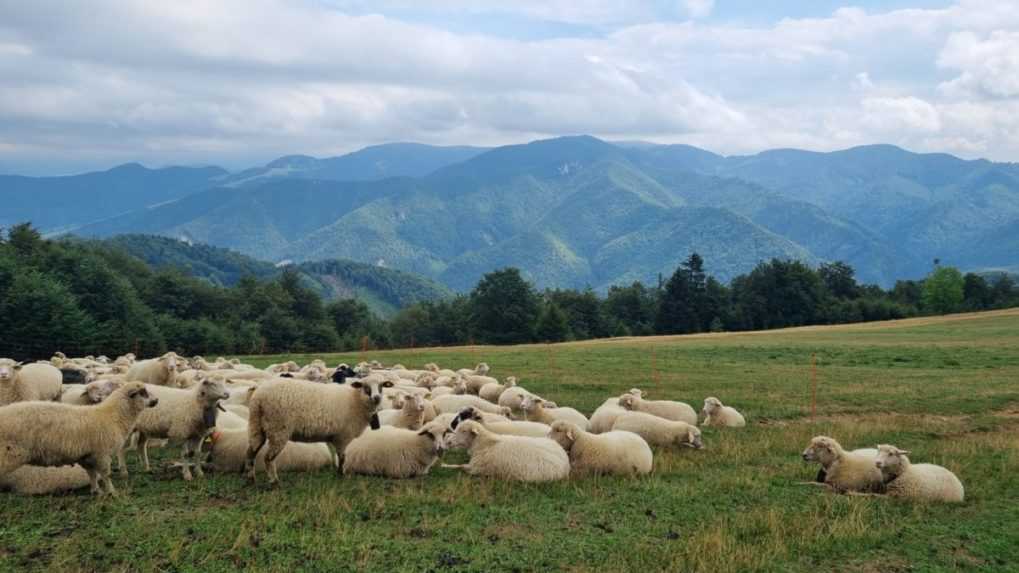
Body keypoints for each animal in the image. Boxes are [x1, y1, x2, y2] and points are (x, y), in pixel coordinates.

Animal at [0, 379, 156, 495]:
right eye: (143, 392)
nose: (156, 400)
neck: (112, 416)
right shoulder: (102, 453)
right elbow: (106, 475)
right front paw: (112, 492)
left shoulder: (87, 456)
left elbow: (92, 474)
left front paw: (96, 491)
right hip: (6, 455)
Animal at [244, 377, 391, 483]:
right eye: (366, 387)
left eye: (381, 386)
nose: (376, 398)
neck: (355, 400)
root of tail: (258, 397)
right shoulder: (342, 436)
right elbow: (342, 458)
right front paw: (341, 475)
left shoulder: (336, 437)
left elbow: (340, 457)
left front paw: (338, 473)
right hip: (278, 429)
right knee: (268, 458)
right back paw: (274, 482)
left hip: (256, 427)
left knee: (251, 453)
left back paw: (251, 479)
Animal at [444, 418, 574, 479]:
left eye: (464, 431)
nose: (448, 442)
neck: (484, 443)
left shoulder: (476, 469)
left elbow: (460, 466)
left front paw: (445, 465)